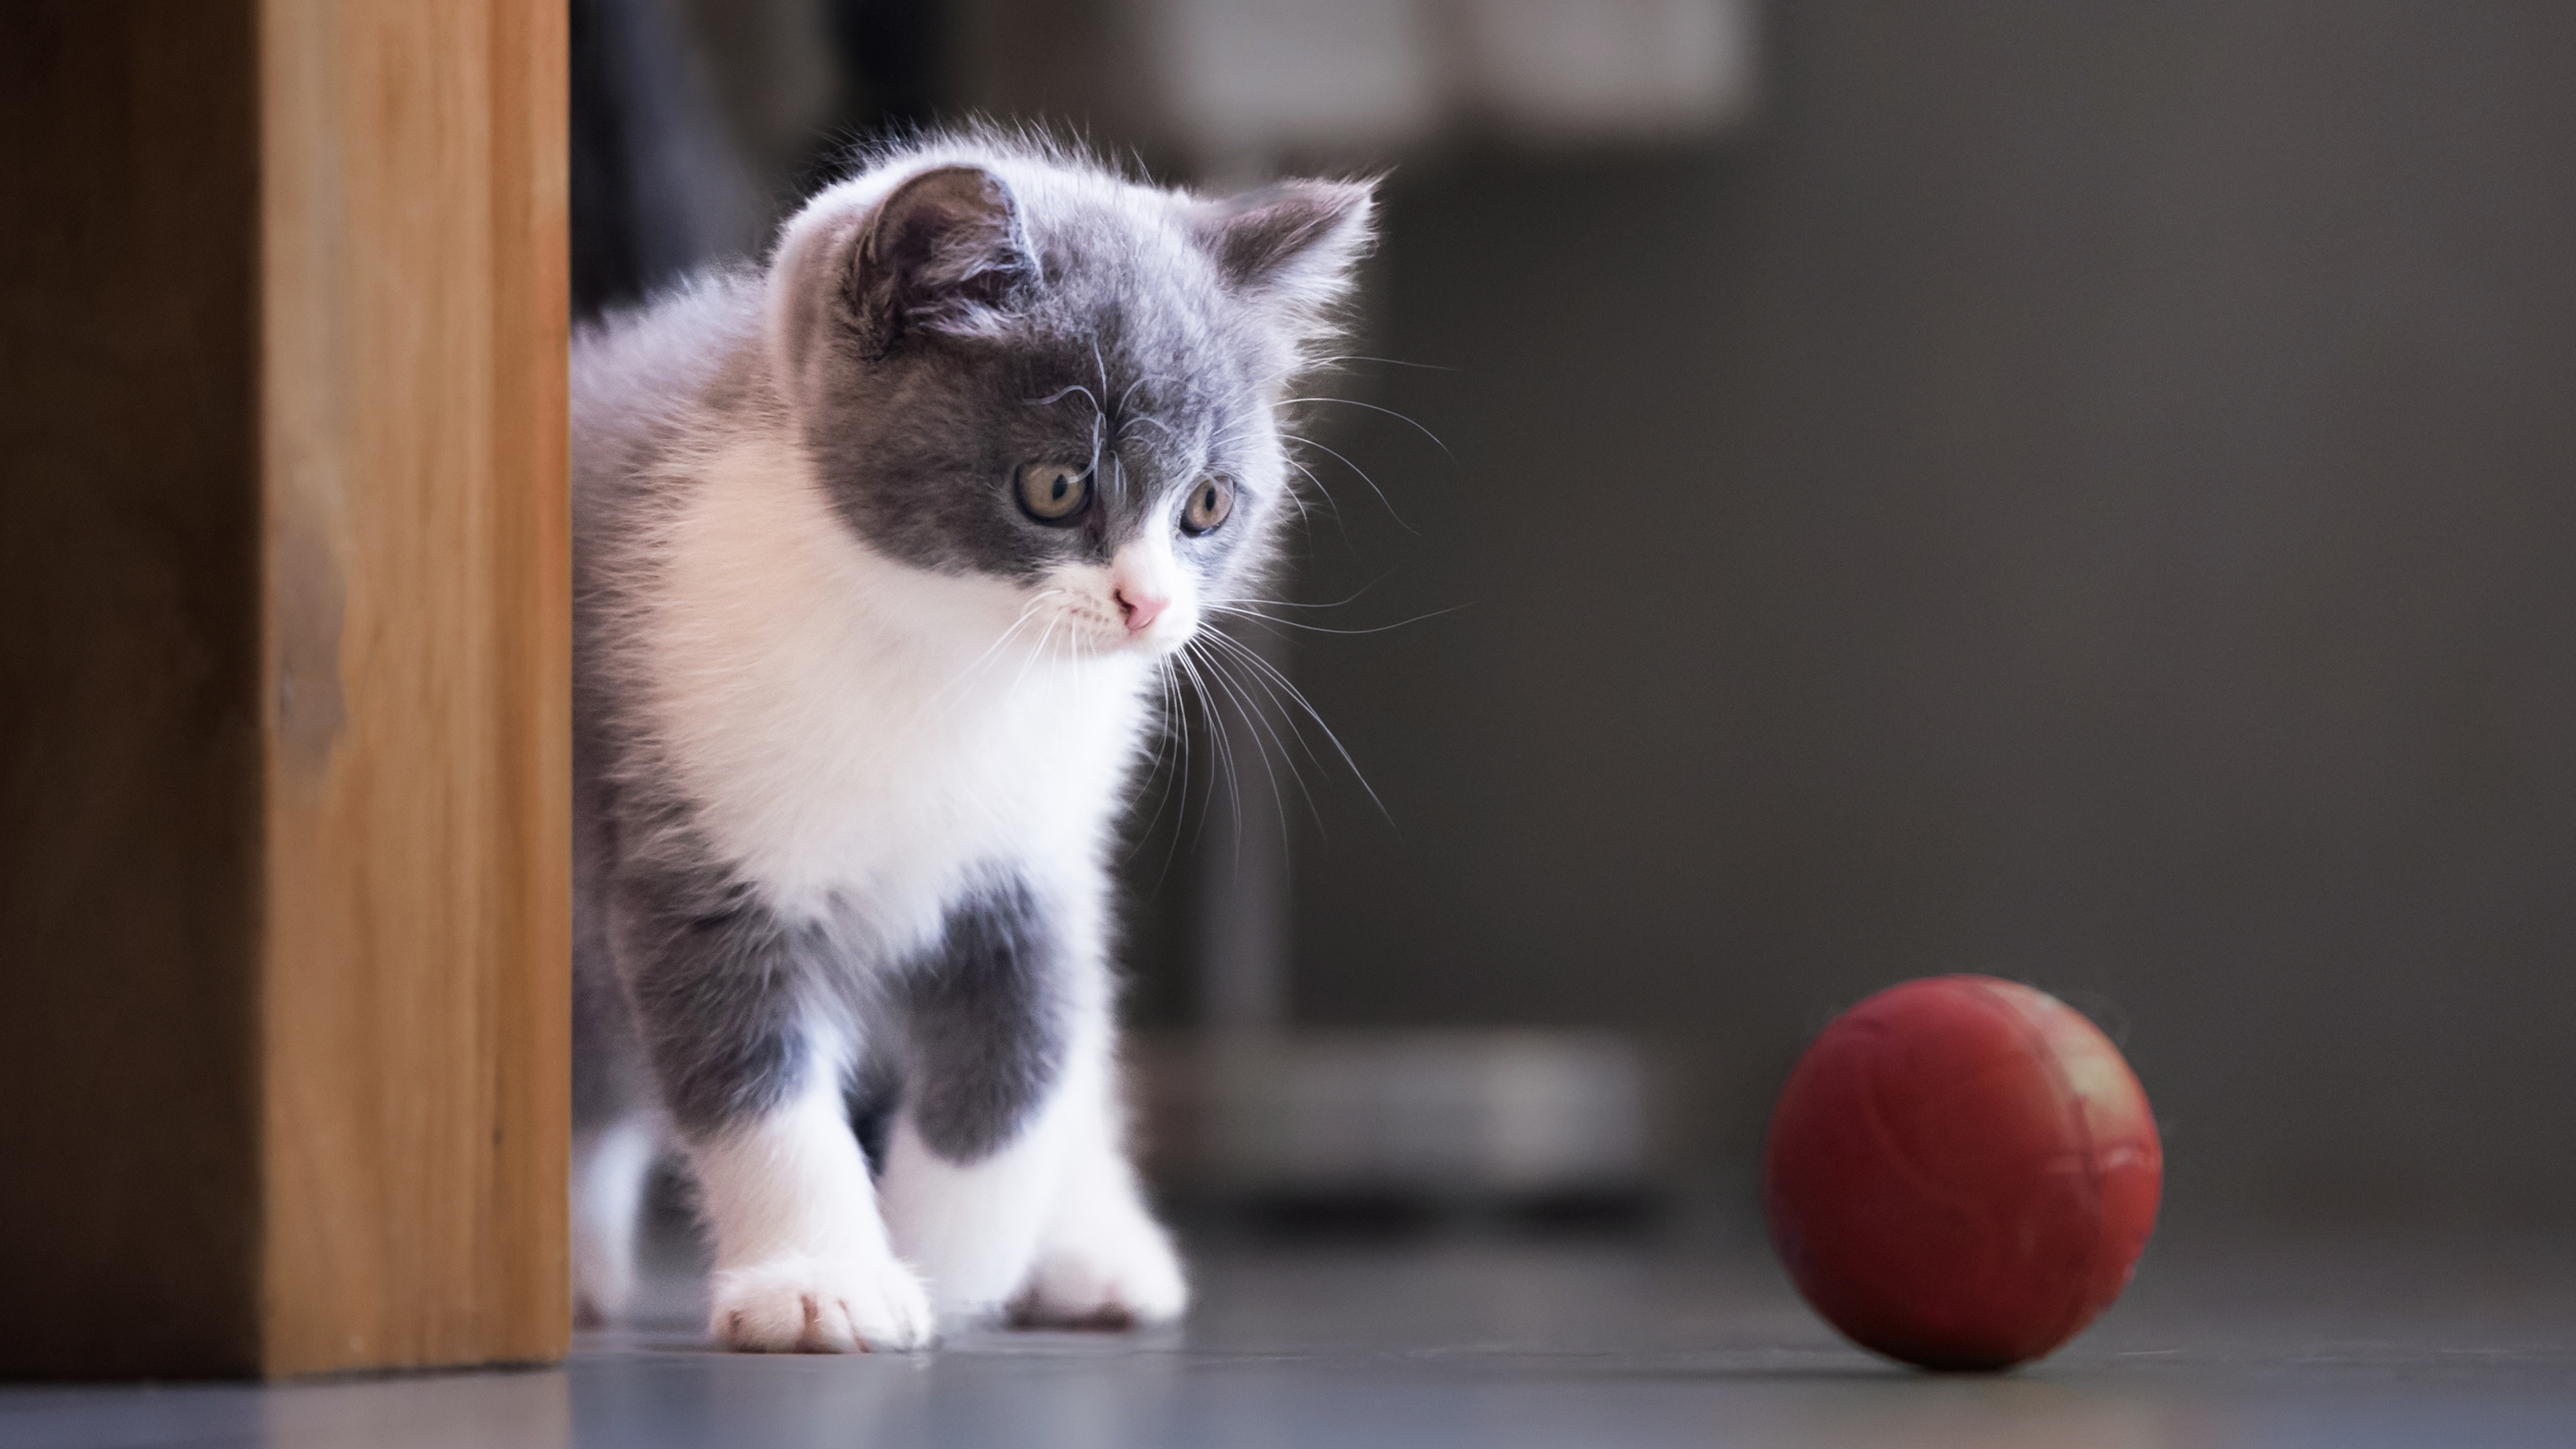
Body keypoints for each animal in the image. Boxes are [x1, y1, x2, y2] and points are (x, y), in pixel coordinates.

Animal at [564, 132, 1370, 1340]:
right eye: (1058, 486)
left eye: (1208, 506)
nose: (1148, 605)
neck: (954, 665)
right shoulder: (692, 823)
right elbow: (752, 1076)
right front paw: (821, 1279)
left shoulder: (1038, 861)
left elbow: (1022, 1060)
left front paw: (953, 1264)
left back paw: (1092, 1248)